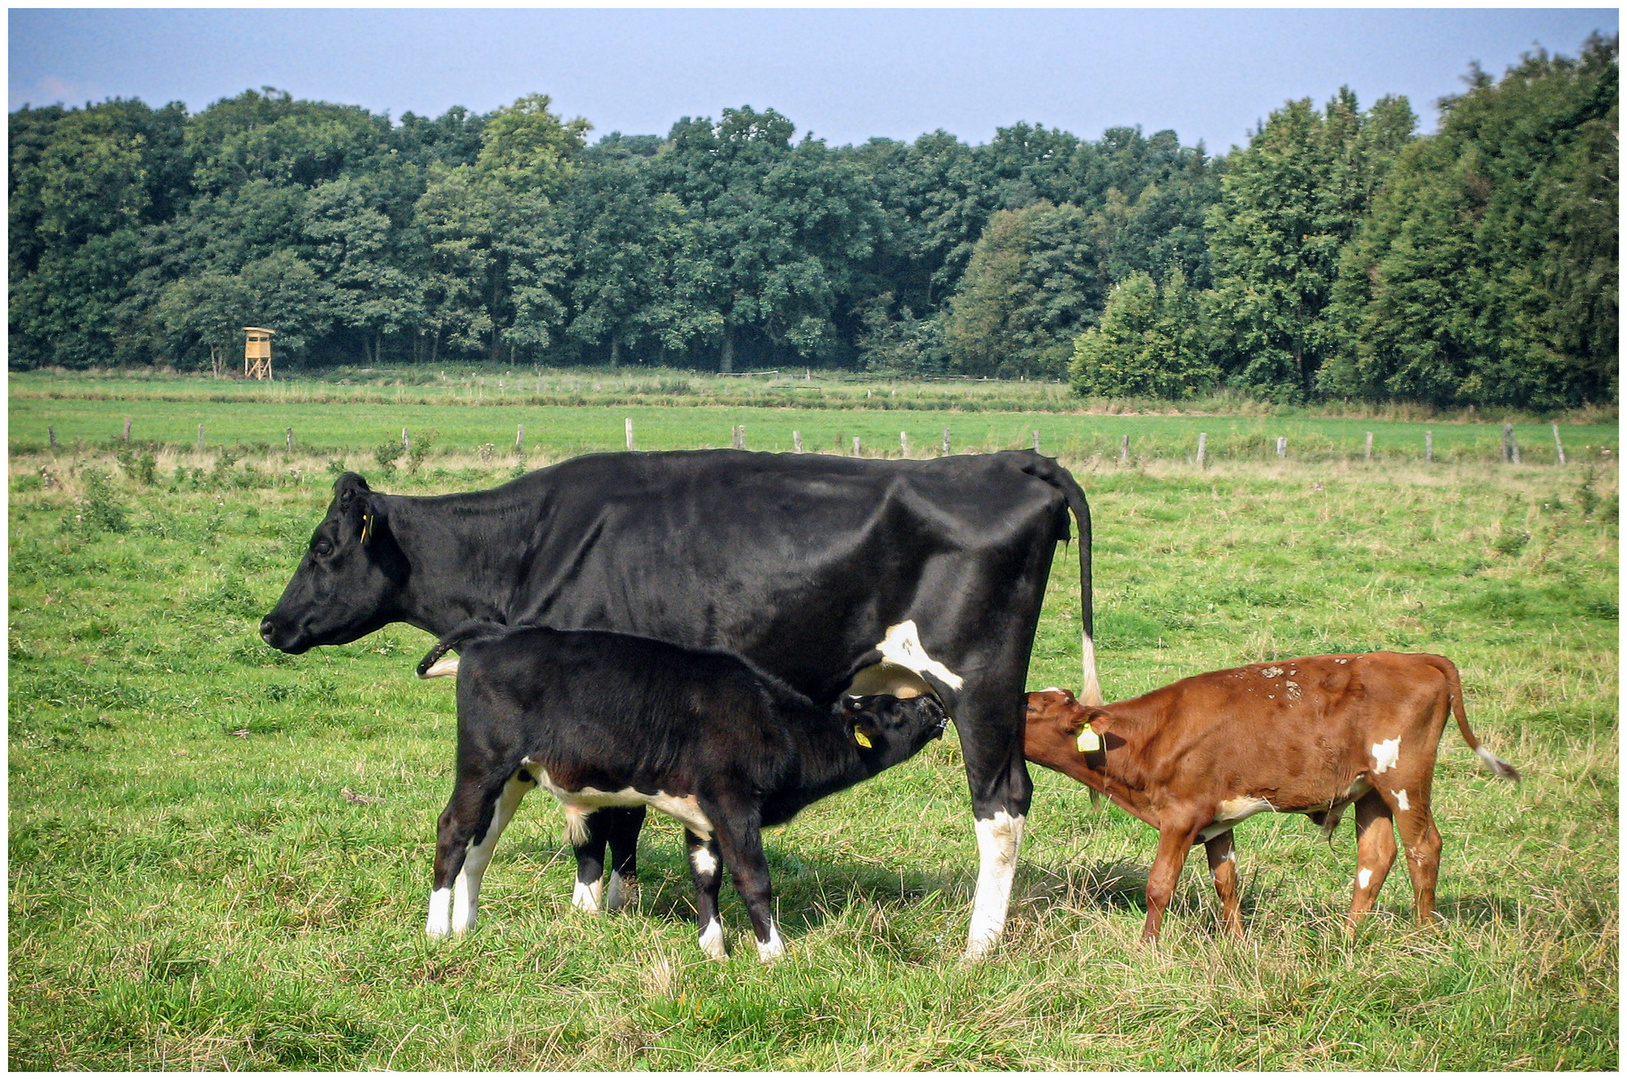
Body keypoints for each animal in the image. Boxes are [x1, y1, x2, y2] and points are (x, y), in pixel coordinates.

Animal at [423, 624, 950, 962]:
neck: (776, 723)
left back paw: (466, 926)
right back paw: (437, 929)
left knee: (480, 846)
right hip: (484, 763)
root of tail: (492, 637)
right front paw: (774, 955)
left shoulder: (703, 818)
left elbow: (706, 877)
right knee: (453, 830)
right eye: (893, 710)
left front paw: (713, 948)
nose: (933, 703)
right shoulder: (733, 804)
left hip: (515, 776)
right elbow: (753, 878)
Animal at [1021, 650, 1516, 936]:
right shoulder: (1217, 820)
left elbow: (1159, 886)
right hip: (1370, 788)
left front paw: (1148, 950)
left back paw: (1424, 937)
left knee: (1423, 847)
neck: (1151, 735)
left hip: (1403, 778)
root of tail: (1416, 657)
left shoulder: (1181, 815)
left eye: (1029, 707)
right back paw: (1348, 939)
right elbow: (1227, 884)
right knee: (1376, 855)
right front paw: (1236, 947)